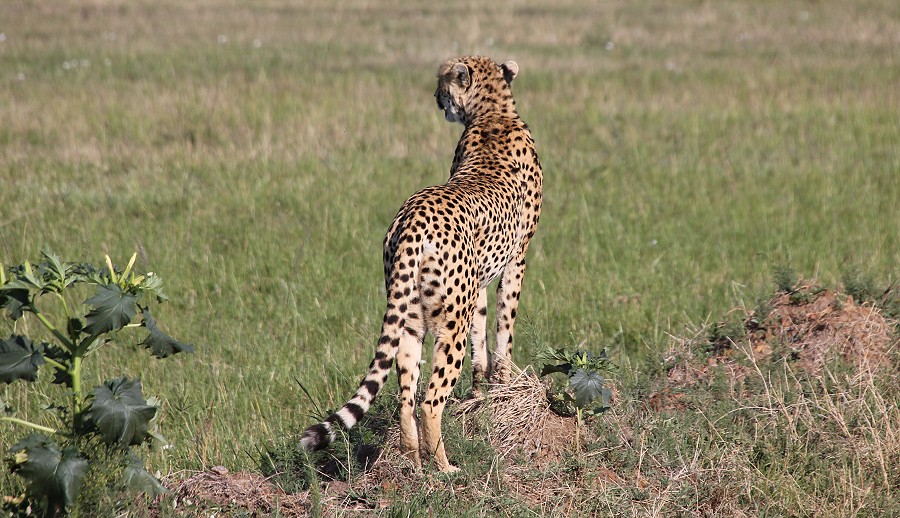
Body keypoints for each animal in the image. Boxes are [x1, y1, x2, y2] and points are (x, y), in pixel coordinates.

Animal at [302, 57, 540, 476]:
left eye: (442, 83)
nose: (434, 97)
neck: (493, 113)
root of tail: (413, 216)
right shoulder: (517, 260)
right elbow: (503, 330)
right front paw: (504, 386)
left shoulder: (477, 284)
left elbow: (482, 336)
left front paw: (480, 392)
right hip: (448, 324)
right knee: (430, 400)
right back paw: (444, 467)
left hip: (411, 316)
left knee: (405, 394)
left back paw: (412, 463)